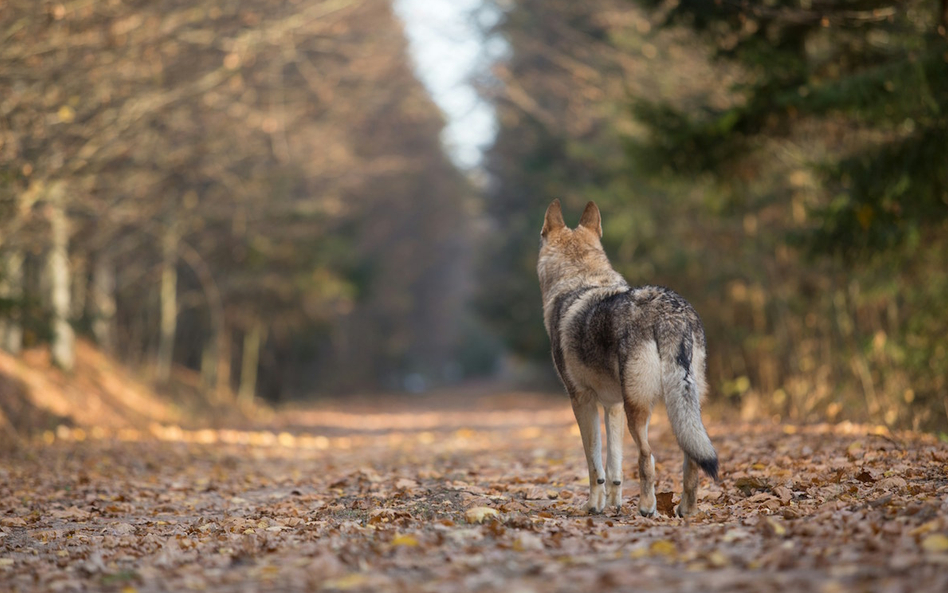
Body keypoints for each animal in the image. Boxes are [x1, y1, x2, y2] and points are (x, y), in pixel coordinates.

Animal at [536, 199, 716, 512]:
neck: (578, 280)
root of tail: (671, 313)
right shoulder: (613, 404)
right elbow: (614, 466)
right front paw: (613, 503)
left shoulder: (582, 400)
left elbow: (594, 463)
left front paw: (594, 506)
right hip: (685, 407)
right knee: (692, 457)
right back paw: (686, 510)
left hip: (639, 408)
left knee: (647, 457)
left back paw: (647, 507)